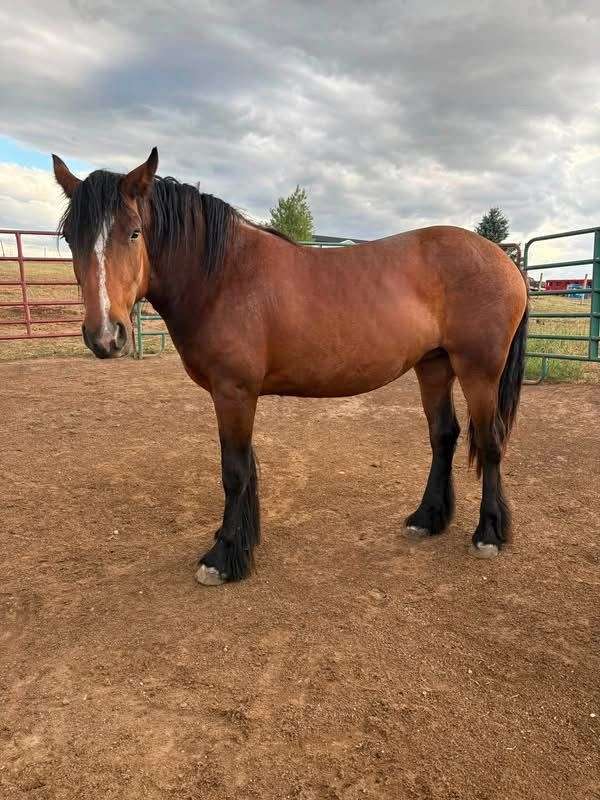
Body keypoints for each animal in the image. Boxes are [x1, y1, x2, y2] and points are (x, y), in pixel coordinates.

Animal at [52, 148, 528, 587]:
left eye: (134, 232)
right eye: (72, 239)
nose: (105, 336)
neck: (223, 275)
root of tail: (504, 261)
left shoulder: (234, 391)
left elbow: (234, 472)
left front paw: (222, 557)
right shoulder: (235, 395)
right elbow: (246, 467)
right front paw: (242, 545)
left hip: (479, 371)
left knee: (490, 441)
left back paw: (488, 533)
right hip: (434, 366)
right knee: (443, 436)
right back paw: (427, 518)